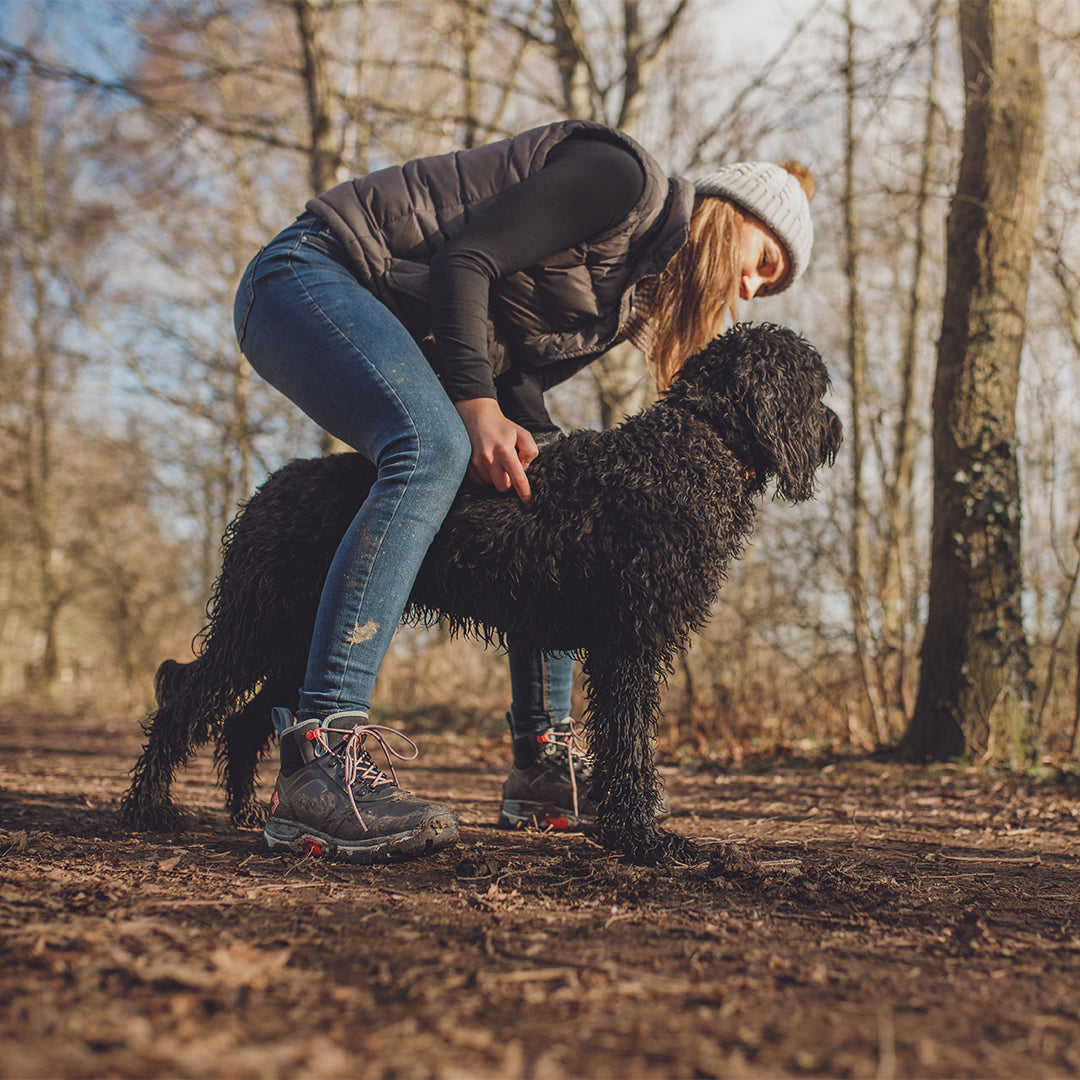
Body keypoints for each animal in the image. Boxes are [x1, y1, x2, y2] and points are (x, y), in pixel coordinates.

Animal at [120, 321, 842, 868]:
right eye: (815, 385)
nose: (836, 429)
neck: (695, 445)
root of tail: (272, 484)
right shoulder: (630, 645)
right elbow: (632, 746)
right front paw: (643, 839)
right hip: (259, 624)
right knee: (185, 698)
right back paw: (149, 807)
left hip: (294, 636)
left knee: (248, 718)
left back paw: (248, 811)